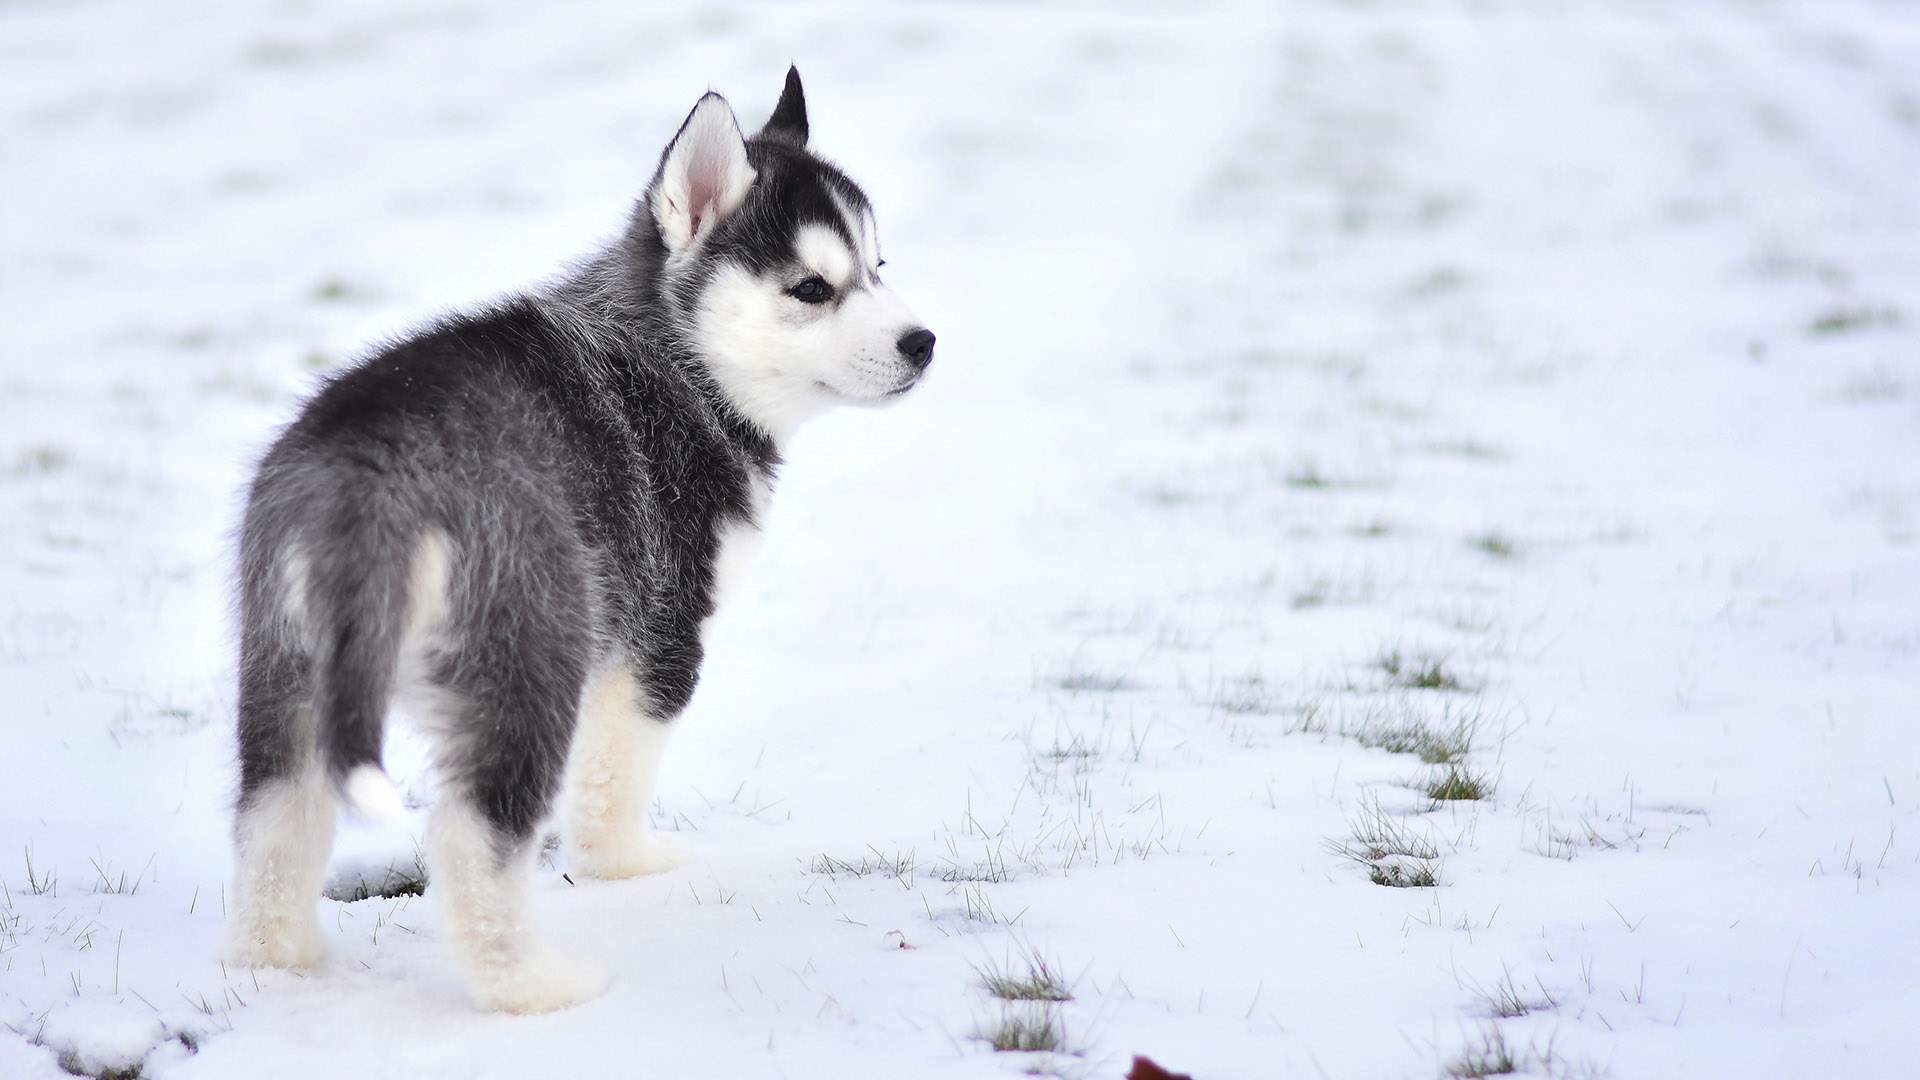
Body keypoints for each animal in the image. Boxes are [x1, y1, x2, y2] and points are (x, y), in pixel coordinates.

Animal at [224, 69, 936, 1006]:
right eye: (812, 289)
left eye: (878, 267)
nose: (924, 343)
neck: (676, 363)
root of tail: (369, 476)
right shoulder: (661, 627)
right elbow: (613, 777)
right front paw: (624, 867)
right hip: (526, 654)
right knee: (473, 835)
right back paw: (532, 986)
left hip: (287, 665)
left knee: (274, 821)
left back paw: (281, 967)